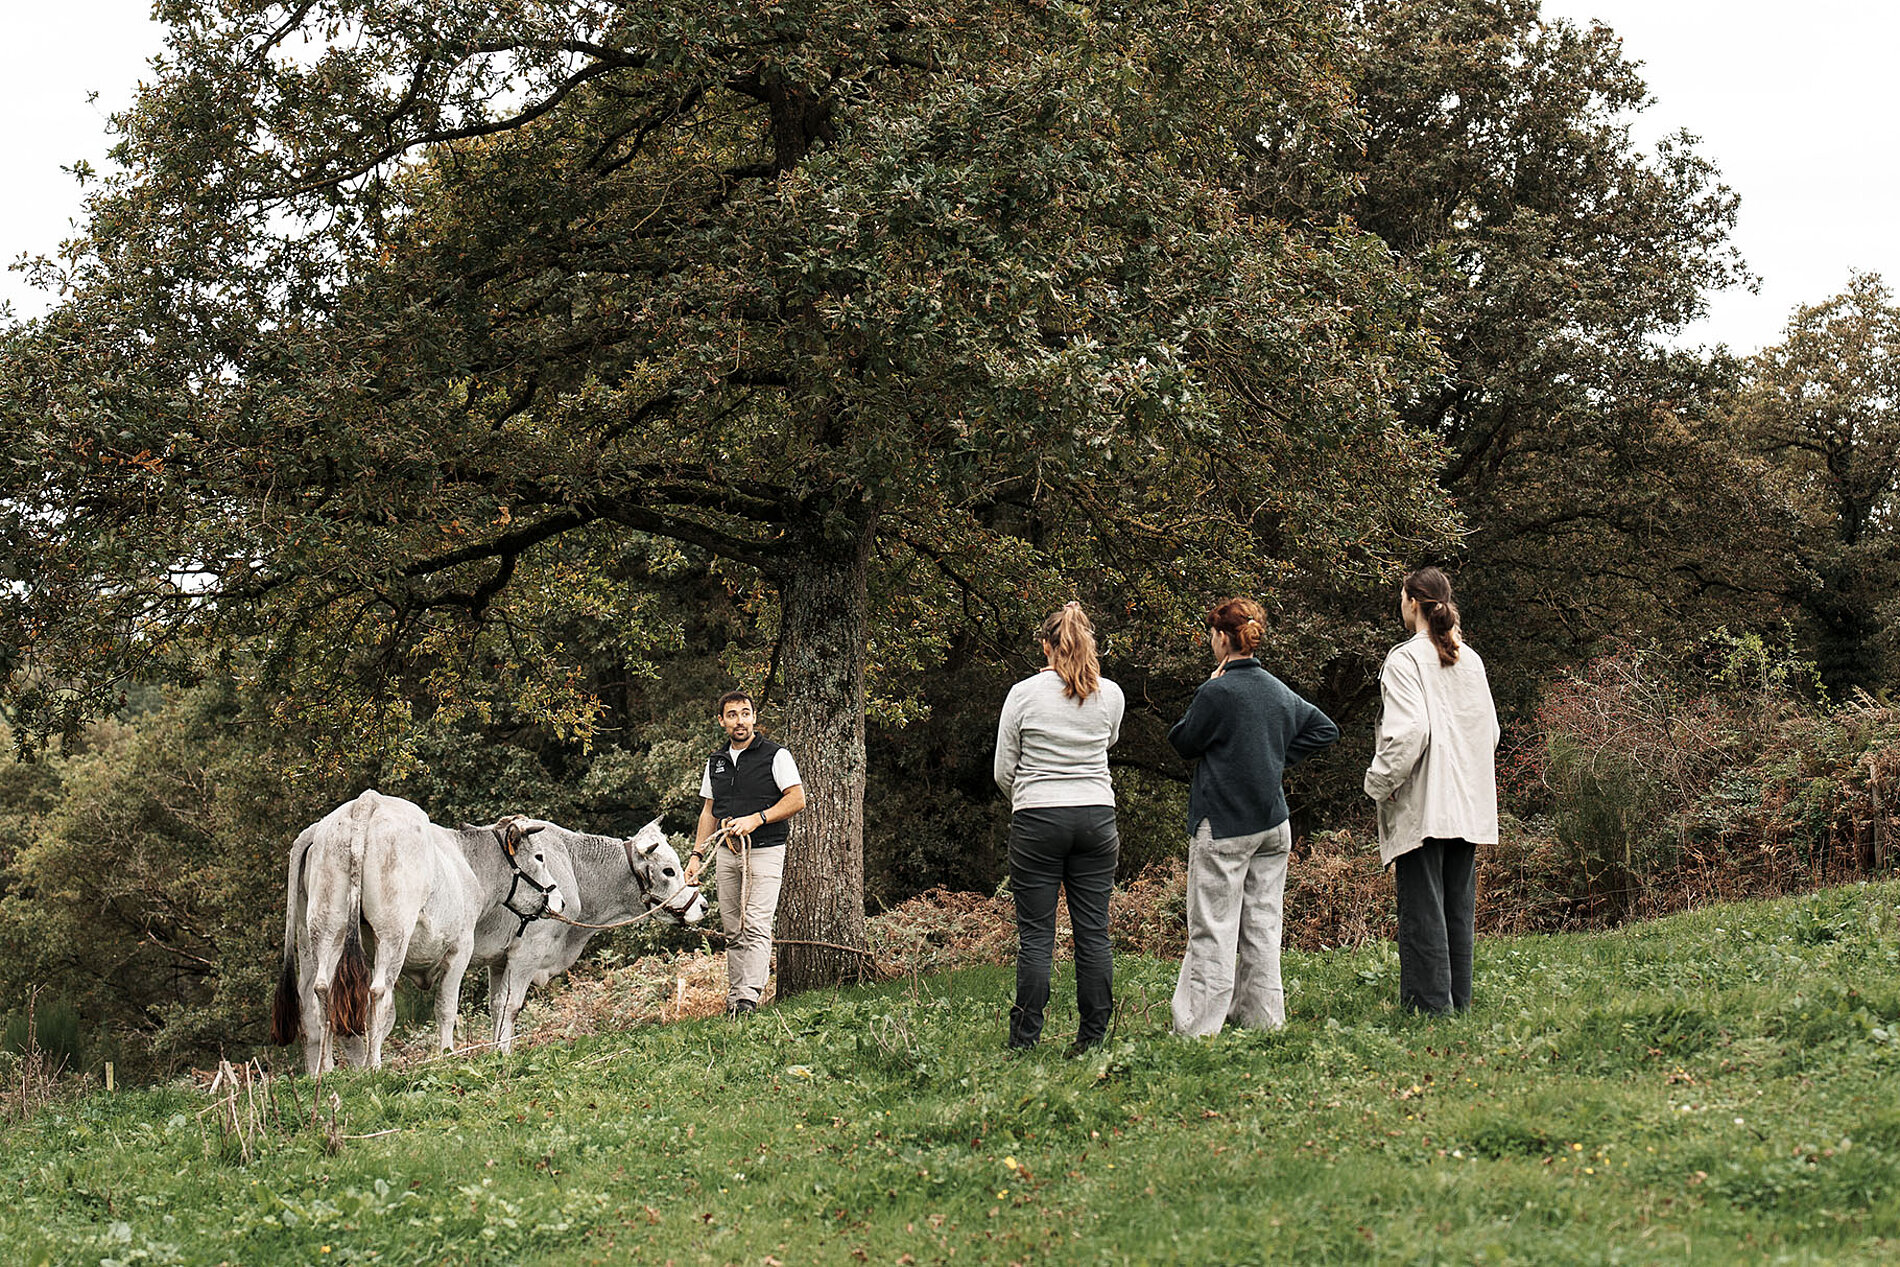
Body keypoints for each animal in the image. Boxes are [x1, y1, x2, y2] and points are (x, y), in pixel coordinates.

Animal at [271, 794, 562, 1071]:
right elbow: (445, 1007)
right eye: (539, 857)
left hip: (326, 927)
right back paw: (373, 1066)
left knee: (321, 992)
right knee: (378, 992)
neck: (467, 863)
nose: (559, 901)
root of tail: (367, 800)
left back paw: (327, 1068)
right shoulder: (460, 947)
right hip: (393, 932)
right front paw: (446, 1054)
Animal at [475, 816, 714, 1056]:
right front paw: (503, 1056)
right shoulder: (527, 952)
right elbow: (509, 1006)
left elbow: (496, 1006)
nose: (703, 905)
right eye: (668, 871)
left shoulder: (499, 959)